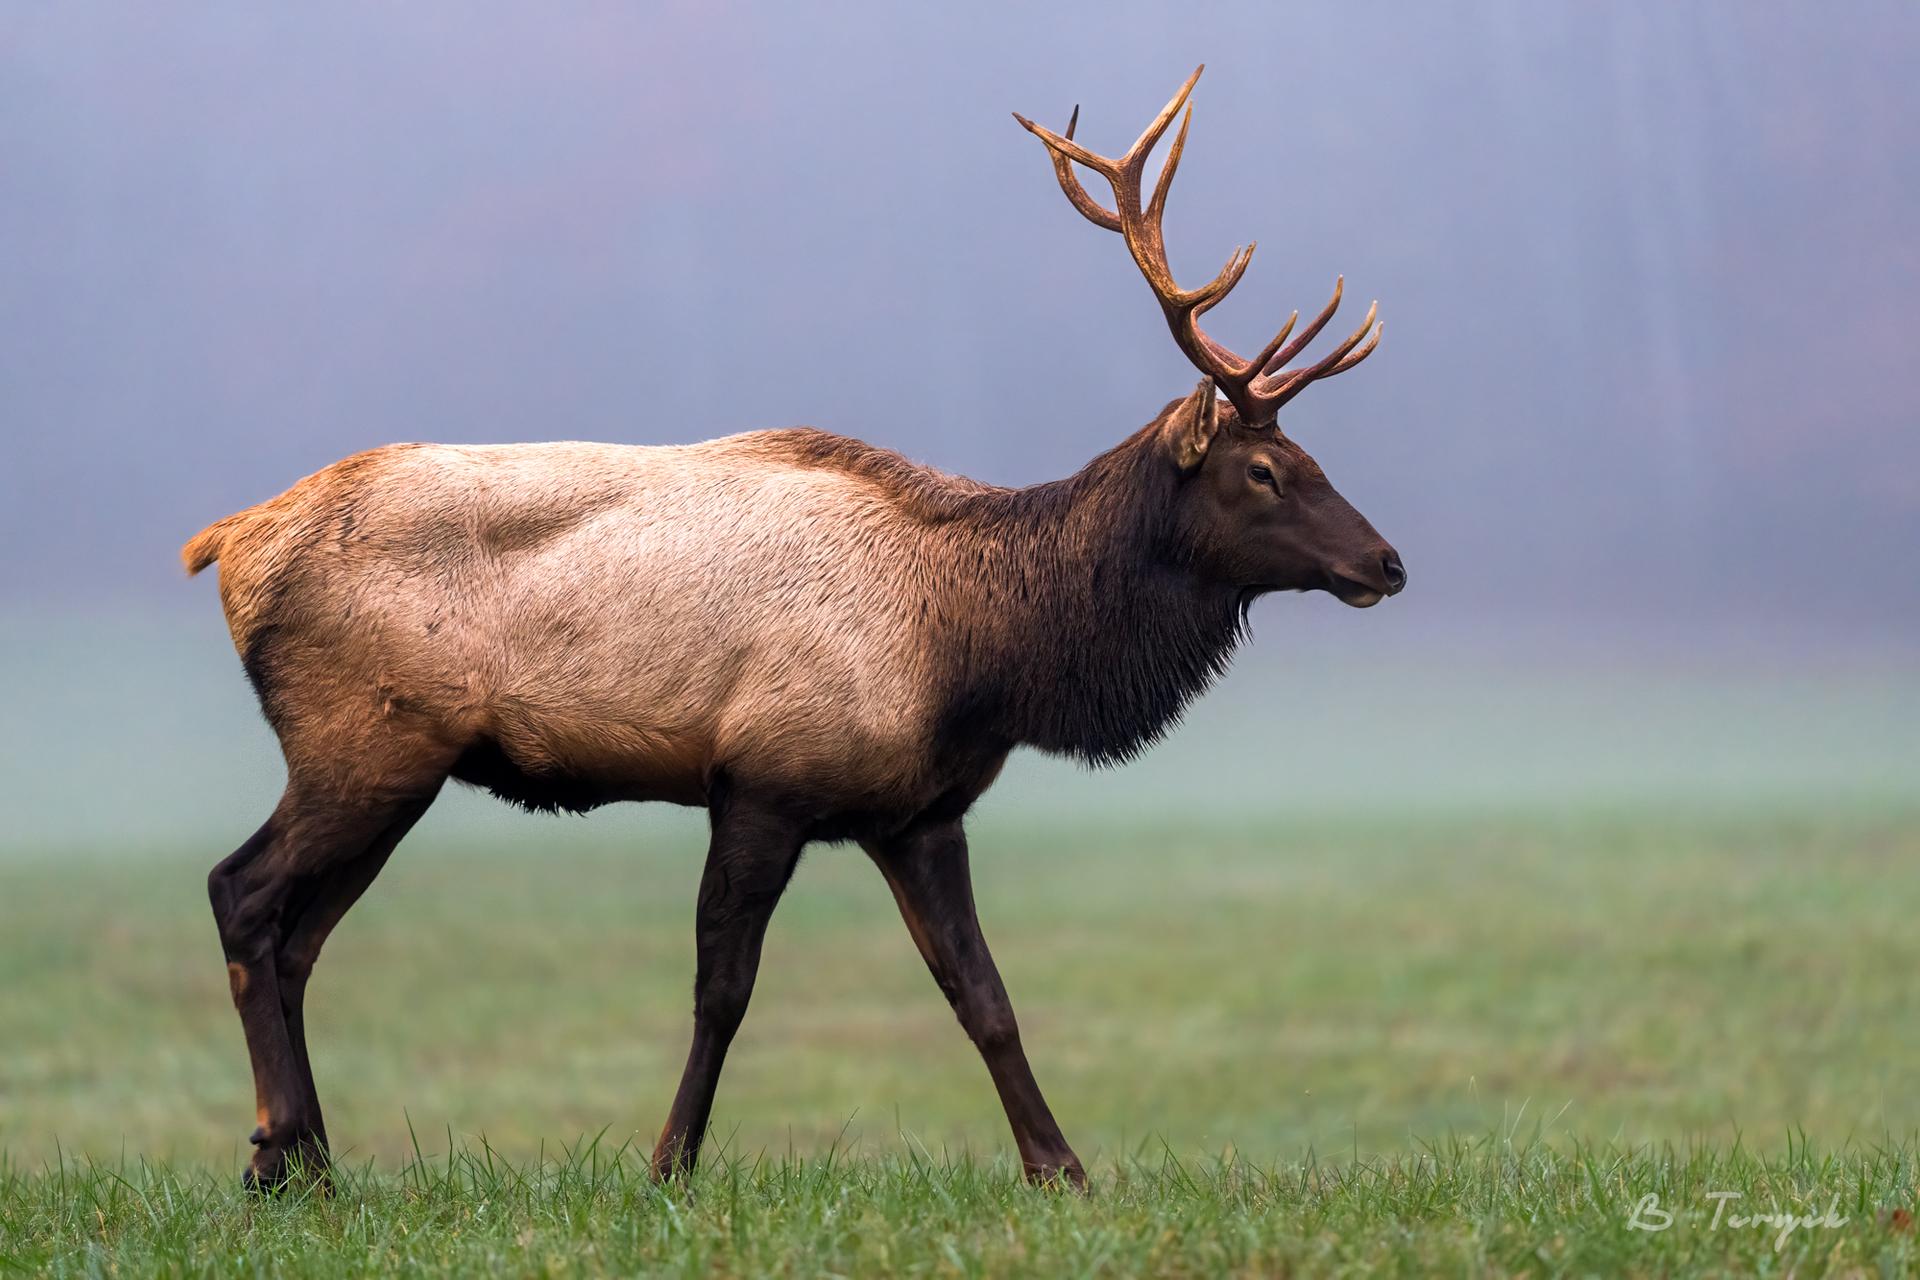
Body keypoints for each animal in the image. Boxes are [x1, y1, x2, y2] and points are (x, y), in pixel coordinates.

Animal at [185, 66, 1404, 1194]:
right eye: (1263, 470)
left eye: (1310, 457)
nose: (1385, 562)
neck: (979, 653)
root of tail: (230, 541)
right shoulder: (763, 776)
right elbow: (723, 989)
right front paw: (669, 1163)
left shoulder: (919, 812)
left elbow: (983, 995)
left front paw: (1062, 1167)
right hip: (365, 741)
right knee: (243, 895)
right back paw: (281, 1152)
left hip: (397, 763)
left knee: (300, 935)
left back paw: (306, 1158)